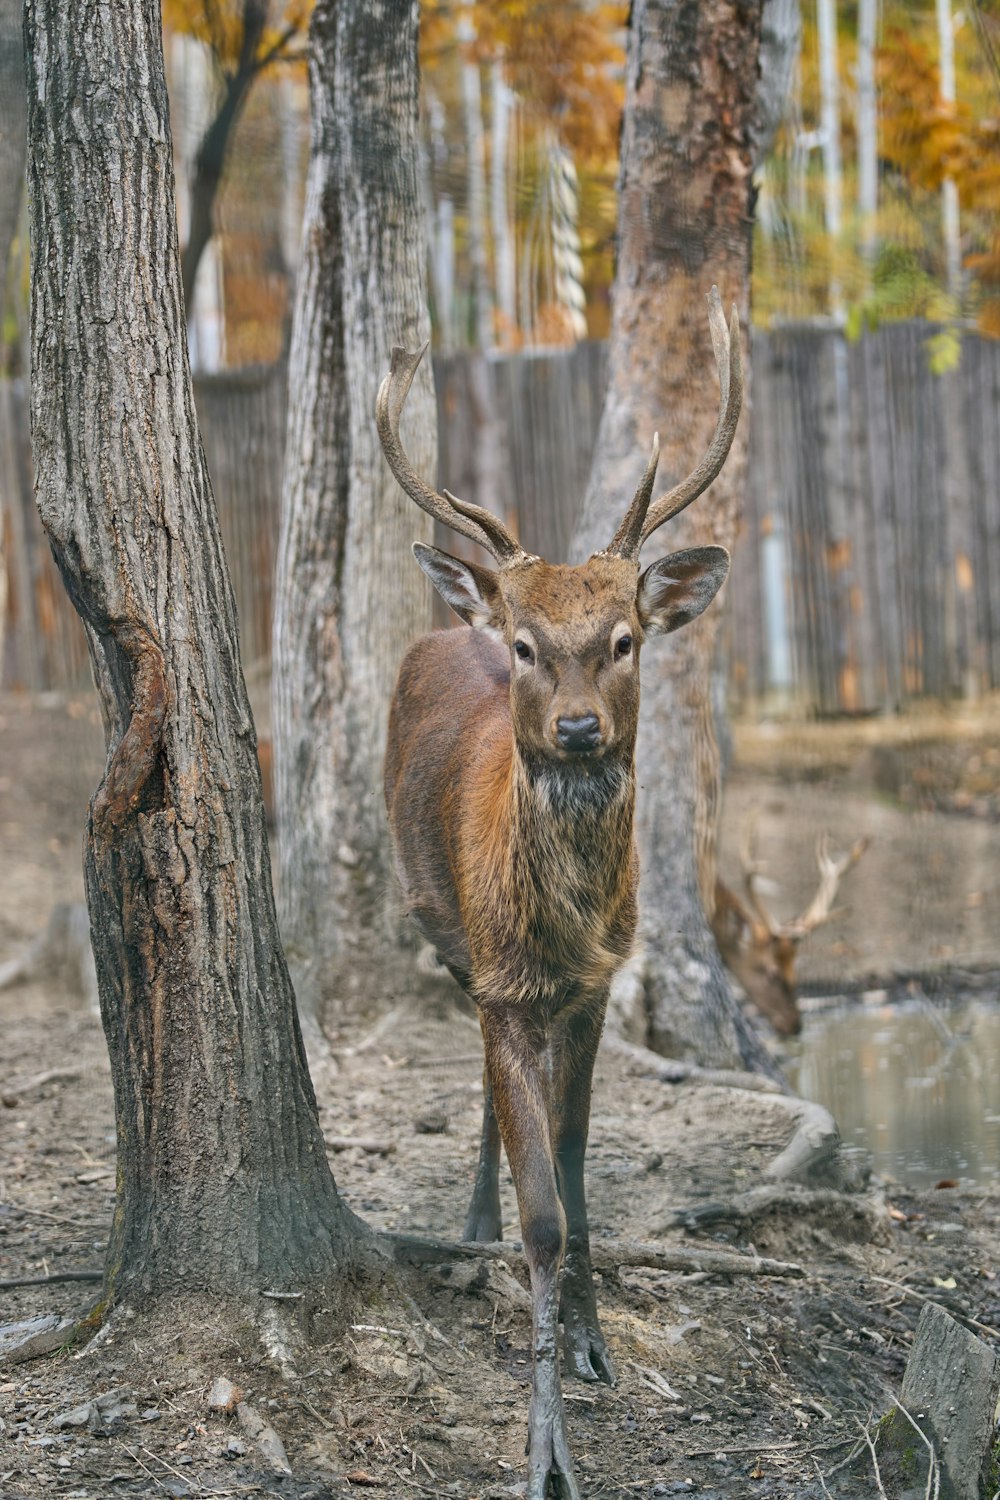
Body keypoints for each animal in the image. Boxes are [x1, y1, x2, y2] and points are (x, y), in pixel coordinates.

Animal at [374, 286, 743, 1494]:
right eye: (531, 646)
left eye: (623, 637)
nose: (578, 727)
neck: (567, 926)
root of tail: (456, 616)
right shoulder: (507, 981)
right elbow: (541, 1211)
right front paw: (545, 1454)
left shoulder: (595, 986)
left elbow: (579, 1171)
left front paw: (589, 1340)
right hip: (443, 933)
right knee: (479, 1079)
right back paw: (471, 1223)